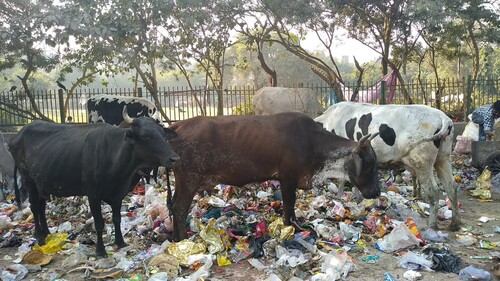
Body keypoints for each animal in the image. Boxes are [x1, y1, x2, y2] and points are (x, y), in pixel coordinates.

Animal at [9, 106, 179, 256]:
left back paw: (47, 232)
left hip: (42, 183)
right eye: (145, 135)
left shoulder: (118, 194)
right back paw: (39, 236)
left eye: (163, 134)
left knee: (41, 207)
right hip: (29, 180)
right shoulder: (93, 194)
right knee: (34, 207)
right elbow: (99, 224)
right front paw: (100, 250)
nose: (174, 158)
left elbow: (116, 219)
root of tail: (19, 134)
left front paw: (120, 242)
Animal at [168, 112, 378, 240]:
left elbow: (291, 207)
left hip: (182, 182)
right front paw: (288, 228)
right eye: (369, 162)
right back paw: (183, 239)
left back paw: (175, 237)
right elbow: (289, 205)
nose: (376, 192)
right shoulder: (287, 178)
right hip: (189, 180)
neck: (312, 142)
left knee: (173, 206)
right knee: (179, 209)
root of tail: (179, 125)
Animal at [314, 101, 458, 231]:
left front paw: (340, 197)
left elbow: (343, 179)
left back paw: (432, 225)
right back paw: (454, 224)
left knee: (433, 191)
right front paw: (357, 198)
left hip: (422, 163)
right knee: (451, 187)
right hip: (443, 159)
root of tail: (443, 117)